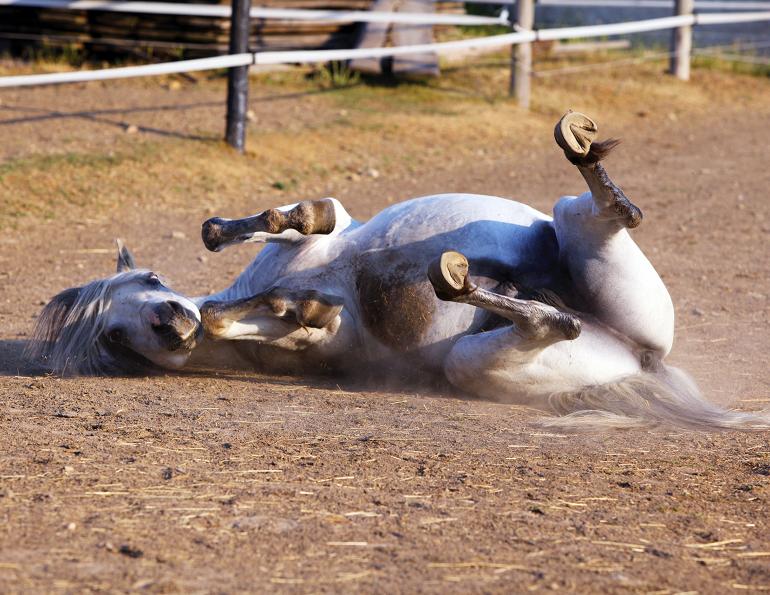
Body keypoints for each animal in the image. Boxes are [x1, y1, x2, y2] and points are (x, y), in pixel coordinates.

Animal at [27, 111, 769, 431]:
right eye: (115, 336)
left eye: (150, 280)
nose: (166, 319)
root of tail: (646, 362)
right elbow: (263, 313)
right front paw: (291, 309)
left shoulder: (319, 231)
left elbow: (299, 216)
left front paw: (233, 245)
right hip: (478, 361)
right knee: (554, 320)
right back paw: (466, 281)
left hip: (569, 223)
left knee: (611, 211)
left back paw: (575, 149)